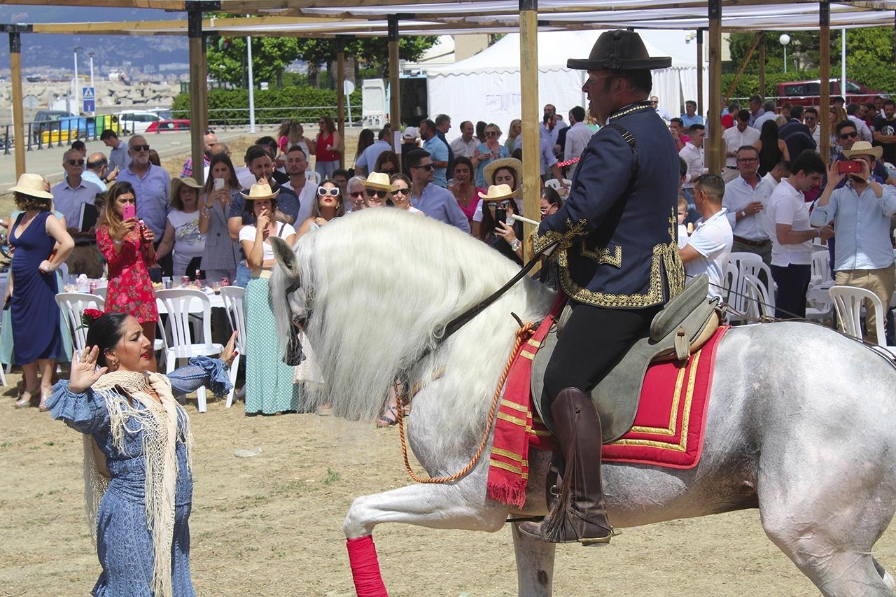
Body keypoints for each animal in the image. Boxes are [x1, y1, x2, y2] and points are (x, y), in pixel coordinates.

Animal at [272, 207, 896, 592]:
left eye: (287, 297)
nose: (293, 373)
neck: (470, 335)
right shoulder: (527, 522)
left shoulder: (470, 502)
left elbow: (357, 514)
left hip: (820, 543)